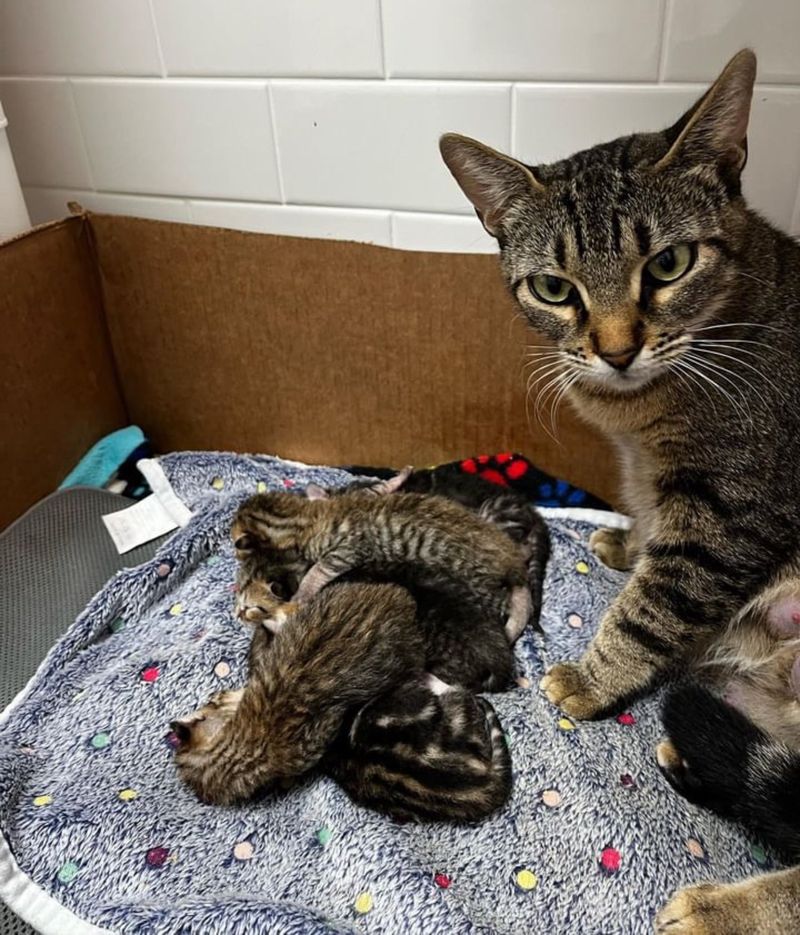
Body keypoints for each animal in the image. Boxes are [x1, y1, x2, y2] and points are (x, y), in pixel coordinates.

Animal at [230, 490, 532, 644]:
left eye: (236, 544)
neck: (302, 517)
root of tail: (513, 559)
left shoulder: (348, 548)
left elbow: (318, 570)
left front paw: (303, 593)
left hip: (481, 584)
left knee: (507, 599)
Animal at [438, 49, 800, 935]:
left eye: (667, 265)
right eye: (554, 288)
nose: (614, 349)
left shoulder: (732, 508)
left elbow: (655, 601)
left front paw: (594, 674)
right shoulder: (655, 473)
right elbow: (647, 525)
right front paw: (626, 540)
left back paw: (723, 907)